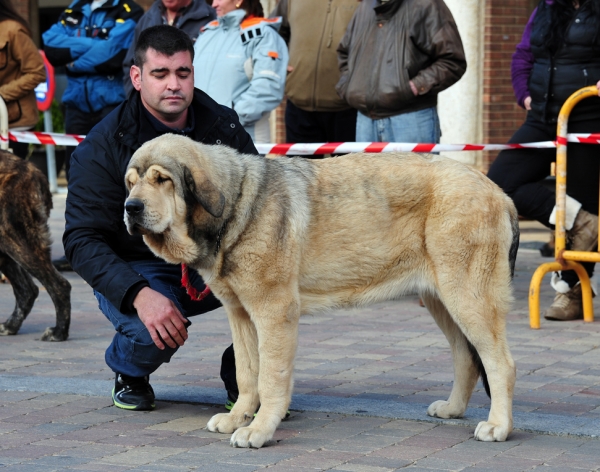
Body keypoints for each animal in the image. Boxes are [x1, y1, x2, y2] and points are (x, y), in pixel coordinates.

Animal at [0, 149, 71, 342]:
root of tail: (33, 170)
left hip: (13, 239)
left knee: (59, 285)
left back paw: (59, 332)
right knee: (28, 290)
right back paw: (10, 326)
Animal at [124, 134, 516, 446]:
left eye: (162, 179)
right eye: (130, 183)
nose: (130, 207)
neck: (237, 207)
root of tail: (497, 191)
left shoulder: (274, 312)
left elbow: (270, 378)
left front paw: (259, 430)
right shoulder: (241, 315)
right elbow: (247, 374)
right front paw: (238, 418)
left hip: (468, 297)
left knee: (501, 363)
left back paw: (498, 426)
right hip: (443, 300)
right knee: (466, 357)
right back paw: (453, 409)